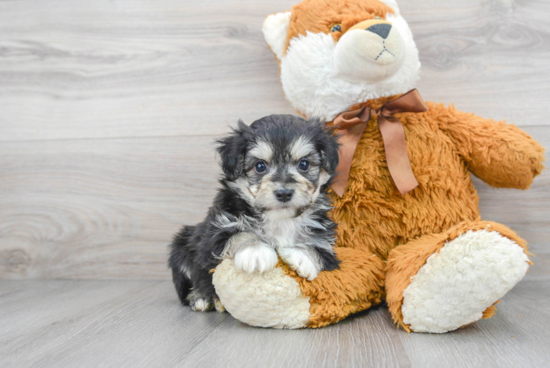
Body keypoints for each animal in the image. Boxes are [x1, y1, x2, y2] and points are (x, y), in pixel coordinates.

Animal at [168, 114, 340, 310]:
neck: (279, 219)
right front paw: (255, 251)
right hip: (181, 248)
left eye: (304, 164)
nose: (284, 193)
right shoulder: (215, 233)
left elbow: (320, 247)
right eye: (260, 166)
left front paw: (303, 256)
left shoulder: (326, 237)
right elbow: (238, 234)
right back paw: (200, 297)